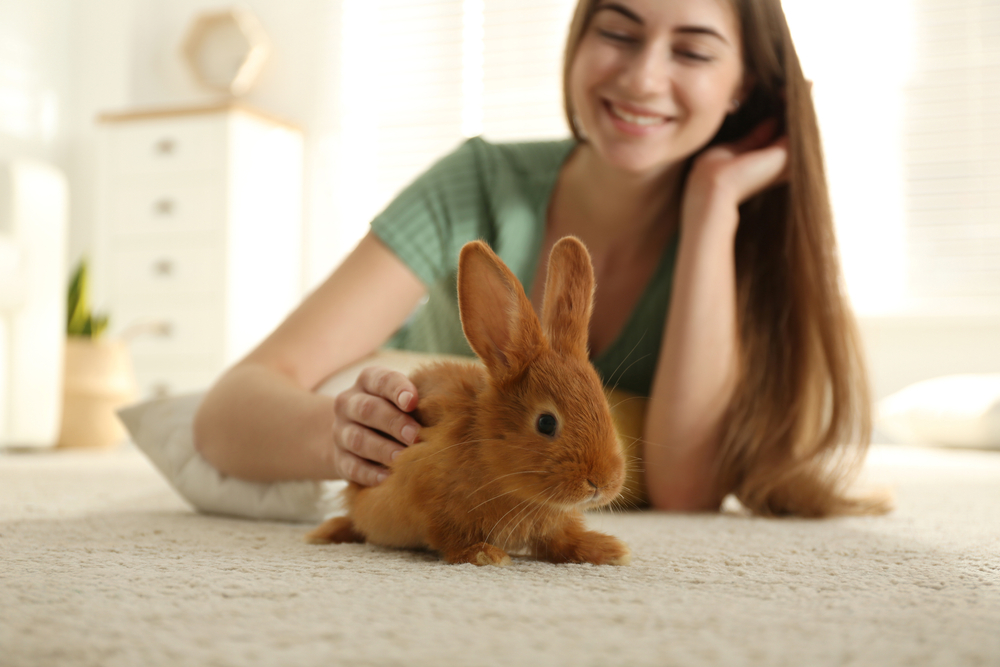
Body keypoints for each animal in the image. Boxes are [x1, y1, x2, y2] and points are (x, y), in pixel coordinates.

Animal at [306, 236, 631, 566]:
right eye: (546, 423)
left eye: (605, 410)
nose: (601, 482)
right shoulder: (428, 499)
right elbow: (449, 537)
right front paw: (484, 554)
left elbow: (561, 538)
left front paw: (608, 550)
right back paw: (324, 533)